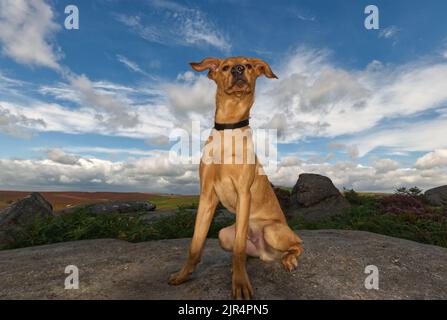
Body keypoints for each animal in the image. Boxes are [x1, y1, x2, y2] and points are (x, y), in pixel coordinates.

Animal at [168, 57, 304, 300]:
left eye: (249, 65)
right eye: (224, 67)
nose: (238, 69)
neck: (228, 130)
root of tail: (266, 253)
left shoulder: (243, 193)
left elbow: (239, 249)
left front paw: (240, 283)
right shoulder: (207, 196)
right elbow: (195, 245)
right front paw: (183, 275)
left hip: (272, 230)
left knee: (298, 244)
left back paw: (289, 259)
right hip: (223, 235)